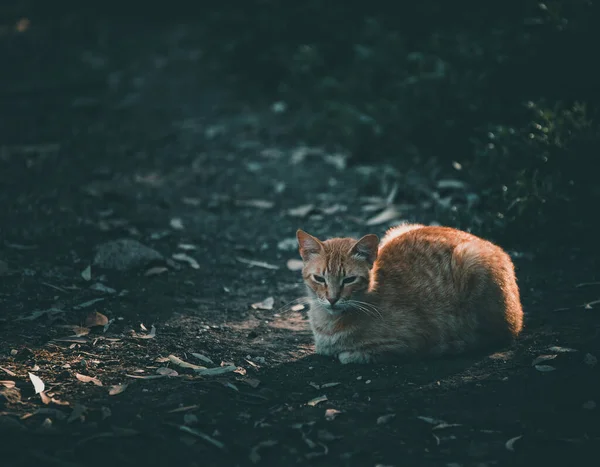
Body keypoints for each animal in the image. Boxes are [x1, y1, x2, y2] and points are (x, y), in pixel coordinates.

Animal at [298, 224, 524, 366]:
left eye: (349, 280)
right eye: (319, 278)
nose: (332, 298)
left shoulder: (410, 342)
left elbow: (352, 356)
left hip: (472, 261)